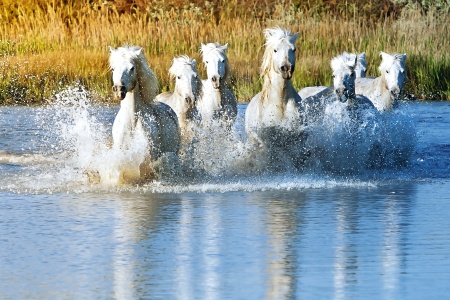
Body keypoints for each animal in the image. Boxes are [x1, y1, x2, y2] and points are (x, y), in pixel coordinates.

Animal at [244, 26, 308, 169]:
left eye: (293, 49)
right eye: (275, 50)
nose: (286, 69)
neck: (280, 103)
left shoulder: (297, 139)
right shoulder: (270, 143)